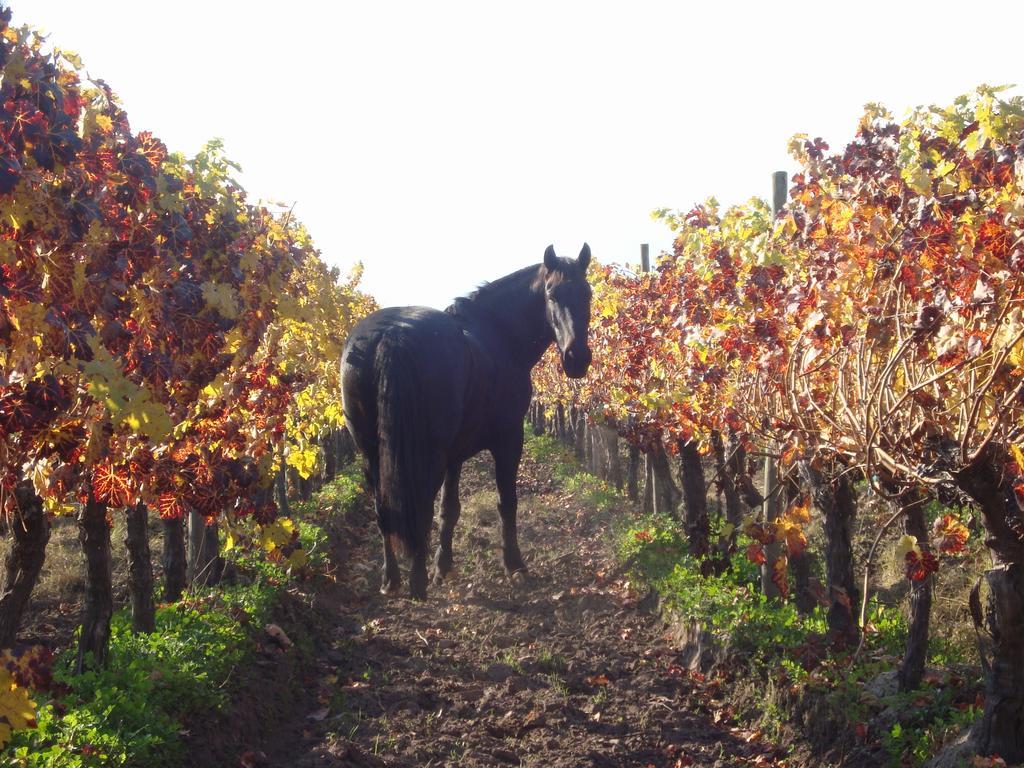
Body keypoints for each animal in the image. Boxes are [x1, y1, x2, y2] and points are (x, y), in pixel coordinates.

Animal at [342, 246, 593, 602]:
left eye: (587, 294)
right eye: (551, 294)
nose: (577, 358)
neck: (498, 333)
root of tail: (392, 335)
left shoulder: (454, 455)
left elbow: (449, 510)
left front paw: (443, 567)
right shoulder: (509, 439)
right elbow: (506, 502)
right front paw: (514, 565)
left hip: (370, 453)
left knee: (384, 510)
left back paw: (392, 580)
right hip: (424, 455)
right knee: (416, 509)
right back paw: (416, 584)